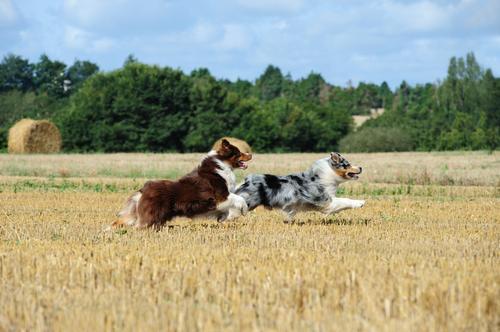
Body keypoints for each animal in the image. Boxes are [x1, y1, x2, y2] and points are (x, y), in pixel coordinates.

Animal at [114, 139, 252, 230]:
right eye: (239, 153)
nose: (250, 154)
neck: (222, 165)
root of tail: (143, 189)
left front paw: (226, 217)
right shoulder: (221, 196)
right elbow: (240, 198)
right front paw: (244, 210)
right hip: (152, 215)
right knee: (139, 226)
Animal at [234, 154, 364, 223]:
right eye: (347, 164)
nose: (361, 167)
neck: (326, 175)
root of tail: (246, 181)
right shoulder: (326, 202)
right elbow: (344, 200)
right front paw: (360, 202)